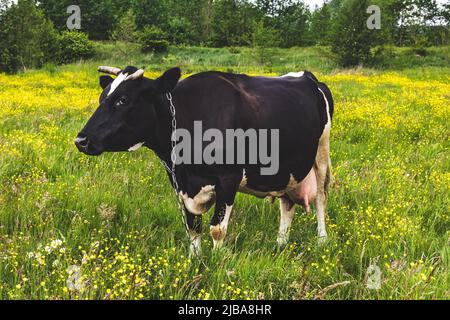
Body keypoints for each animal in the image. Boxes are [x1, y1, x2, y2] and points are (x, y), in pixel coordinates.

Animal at [75, 65, 332, 255]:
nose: (81, 140)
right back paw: (280, 243)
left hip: (321, 153)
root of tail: (308, 77)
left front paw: (217, 265)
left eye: (123, 100)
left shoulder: (229, 178)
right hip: (289, 168)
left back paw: (321, 239)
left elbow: (217, 229)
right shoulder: (179, 183)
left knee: (320, 197)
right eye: (102, 98)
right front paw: (195, 261)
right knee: (287, 203)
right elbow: (192, 227)